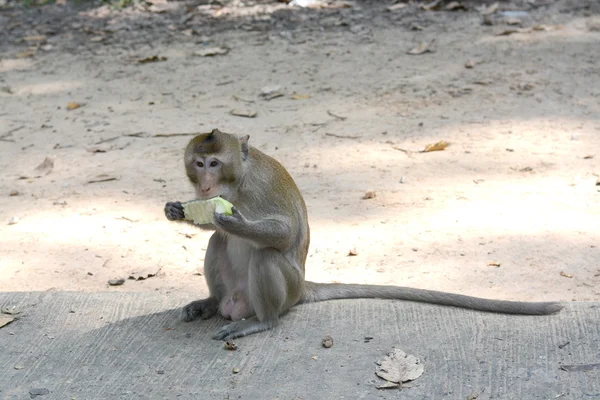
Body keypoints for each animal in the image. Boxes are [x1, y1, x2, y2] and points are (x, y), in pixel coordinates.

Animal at [164, 129, 564, 340]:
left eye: (214, 163)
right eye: (198, 164)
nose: (204, 185)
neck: (237, 185)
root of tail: (301, 289)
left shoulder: (260, 188)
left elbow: (285, 233)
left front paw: (233, 222)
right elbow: (211, 229)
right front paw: (178, 211)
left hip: (287, 290)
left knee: (265, 258)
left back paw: (263, 322)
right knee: (217, 244)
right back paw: (211, 303)